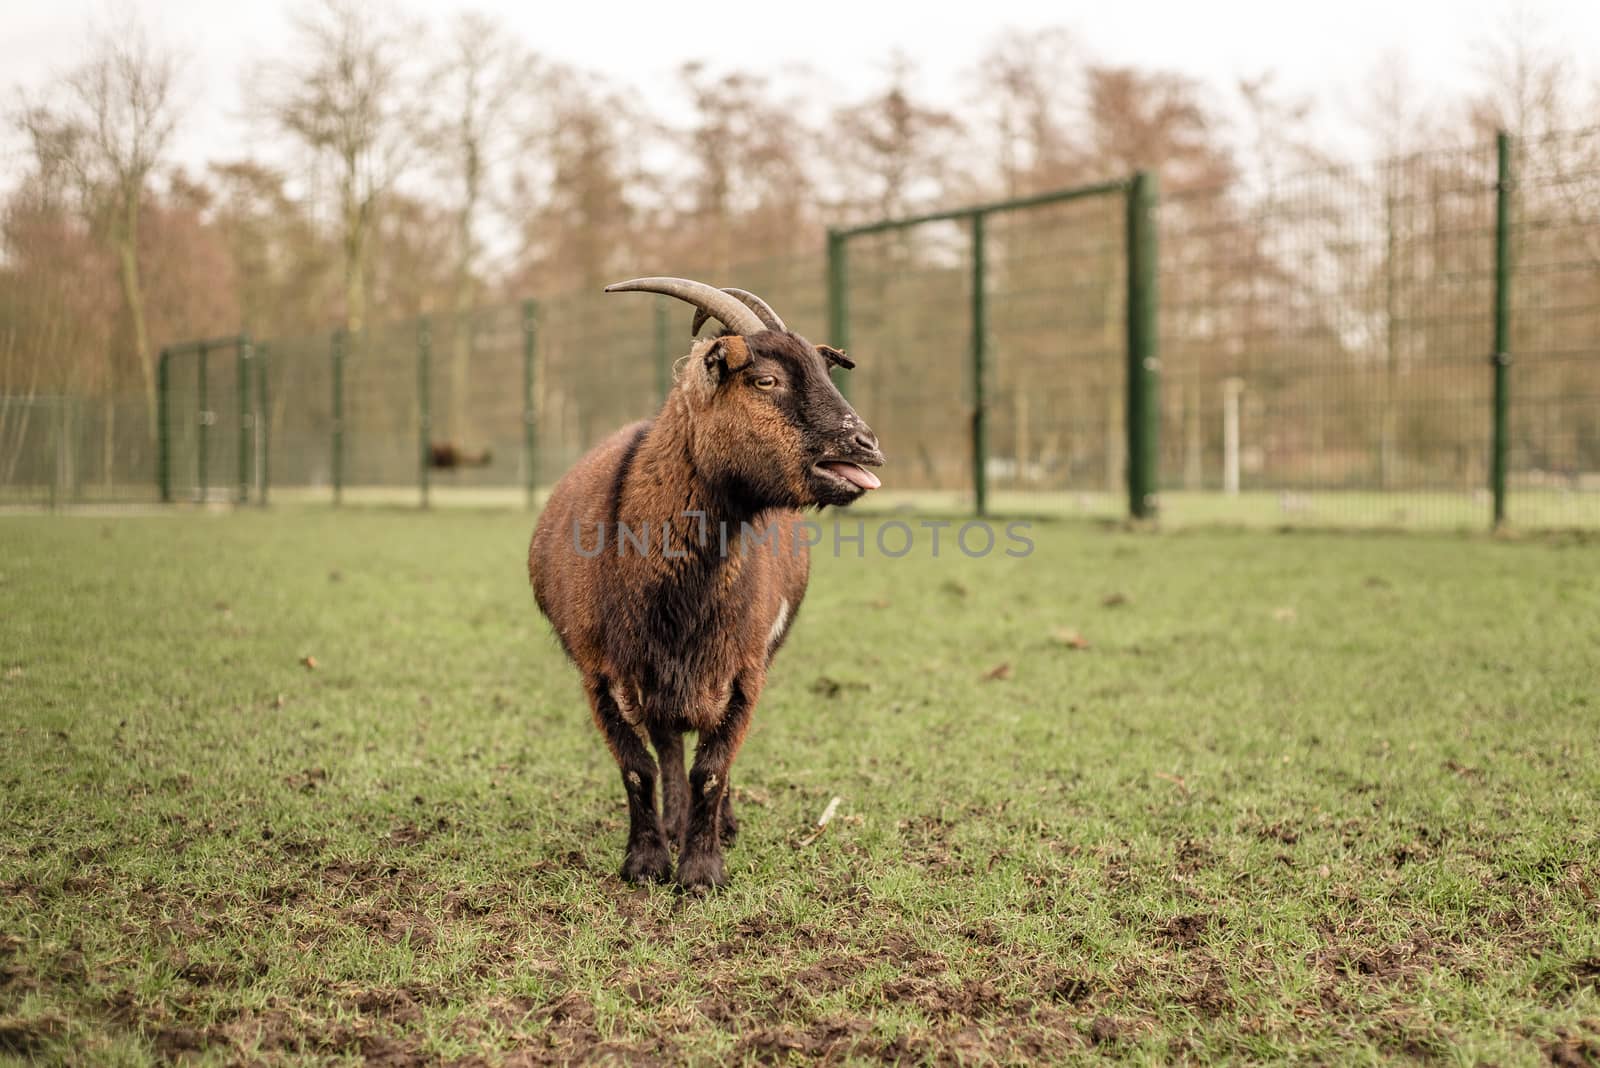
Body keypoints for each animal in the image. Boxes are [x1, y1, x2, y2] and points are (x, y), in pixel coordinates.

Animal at [528, 279, 883, 888]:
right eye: (765, 380)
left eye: (824, 370)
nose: (865, 444)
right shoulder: (602, 673)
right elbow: (639, 767)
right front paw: (647, 863)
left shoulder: (744, 669)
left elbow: (714, 769)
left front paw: (701, 871)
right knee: (669, 744)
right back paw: (673, 823)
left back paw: (721, 826)